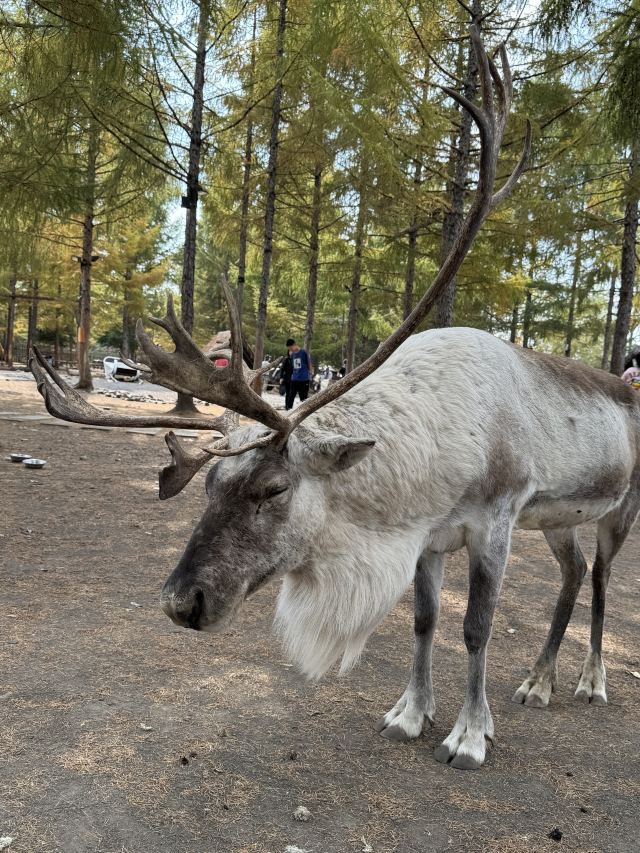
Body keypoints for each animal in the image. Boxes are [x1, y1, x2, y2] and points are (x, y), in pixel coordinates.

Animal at [29, 30, 640, 770]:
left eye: (271, 488)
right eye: (209, 486)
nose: (181, 602)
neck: (425, 470)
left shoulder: (495, 519)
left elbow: (475, 626)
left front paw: (469, 733)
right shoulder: (429, 536)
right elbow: (425, 620)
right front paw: (410, 713)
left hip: (619, 510)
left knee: (602, 581)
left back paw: (589, 681)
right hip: (557, 519)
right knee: (574, 575)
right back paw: (539, 682)